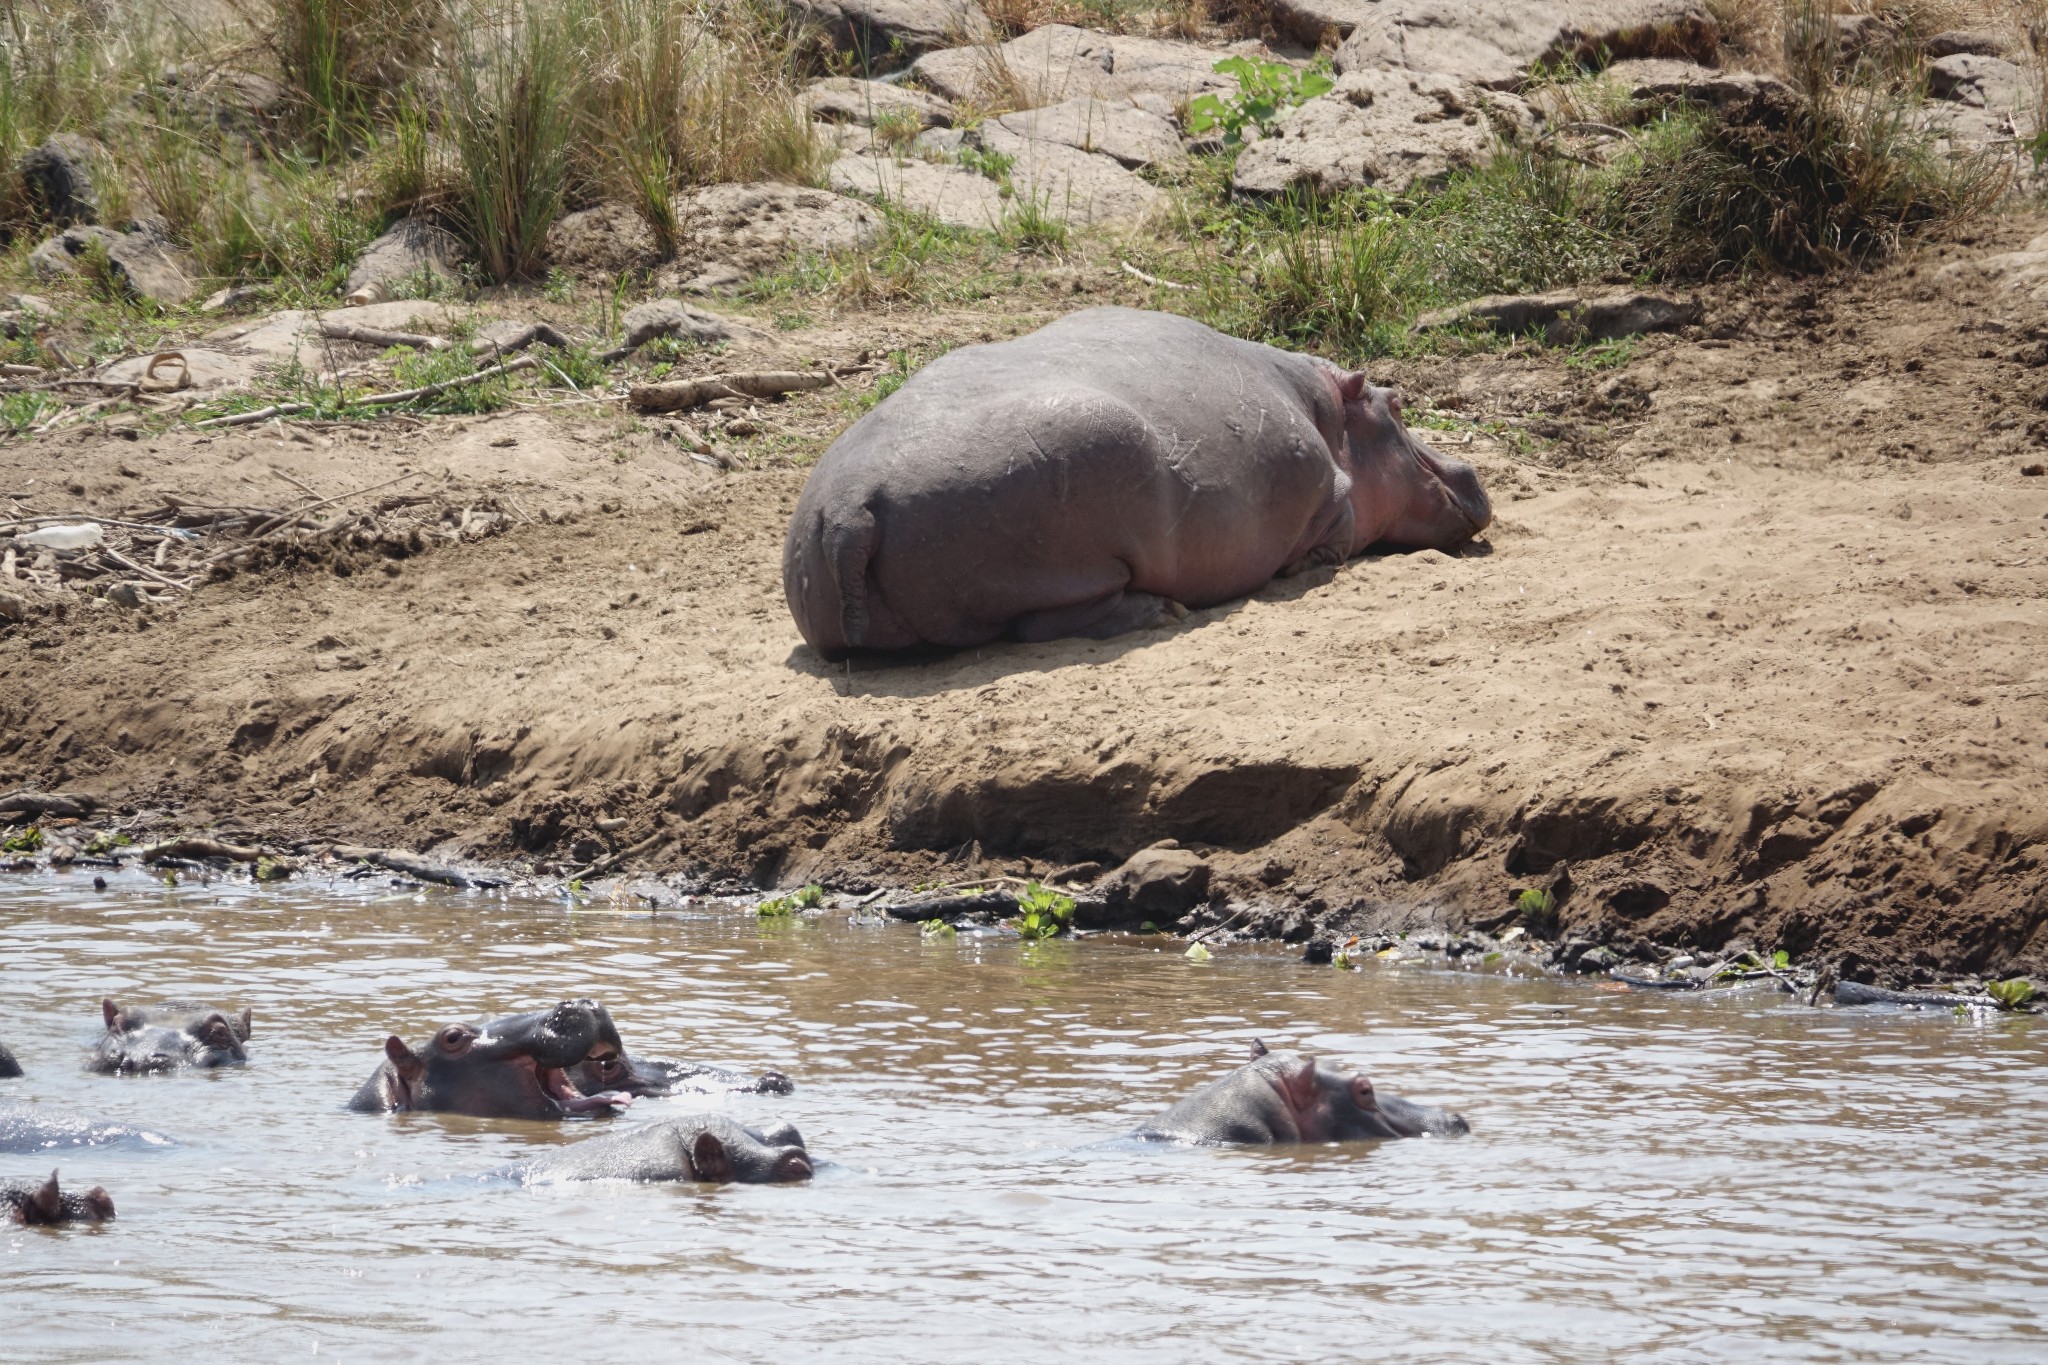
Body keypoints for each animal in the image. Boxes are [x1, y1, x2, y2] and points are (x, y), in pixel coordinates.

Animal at [782, 306, 1490, 658]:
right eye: (1397, 403)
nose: (1472, 473)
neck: (1326, 412)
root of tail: (847, 511)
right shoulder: (1331, 505)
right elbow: (1333, 538)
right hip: (1072, 551)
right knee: (1043, 625)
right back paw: (1162, 612)